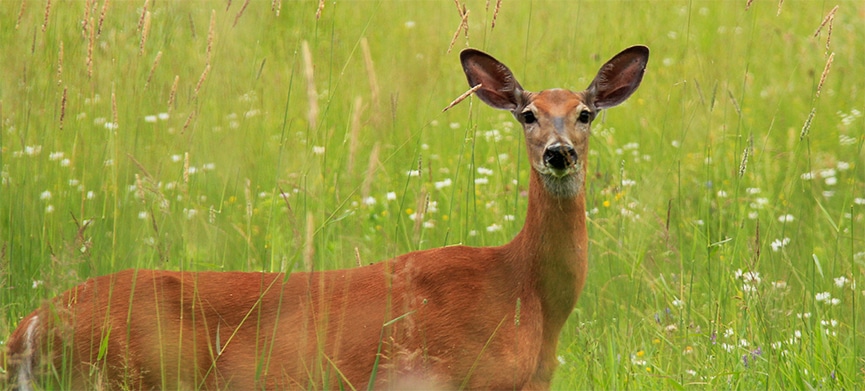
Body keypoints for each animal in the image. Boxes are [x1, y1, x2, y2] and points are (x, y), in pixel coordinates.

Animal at [3, 45, 644, 388]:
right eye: (527, 114)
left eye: (586, 113)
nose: (558, 154)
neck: (525, 293)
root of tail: (32, 325)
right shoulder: (457, 376)